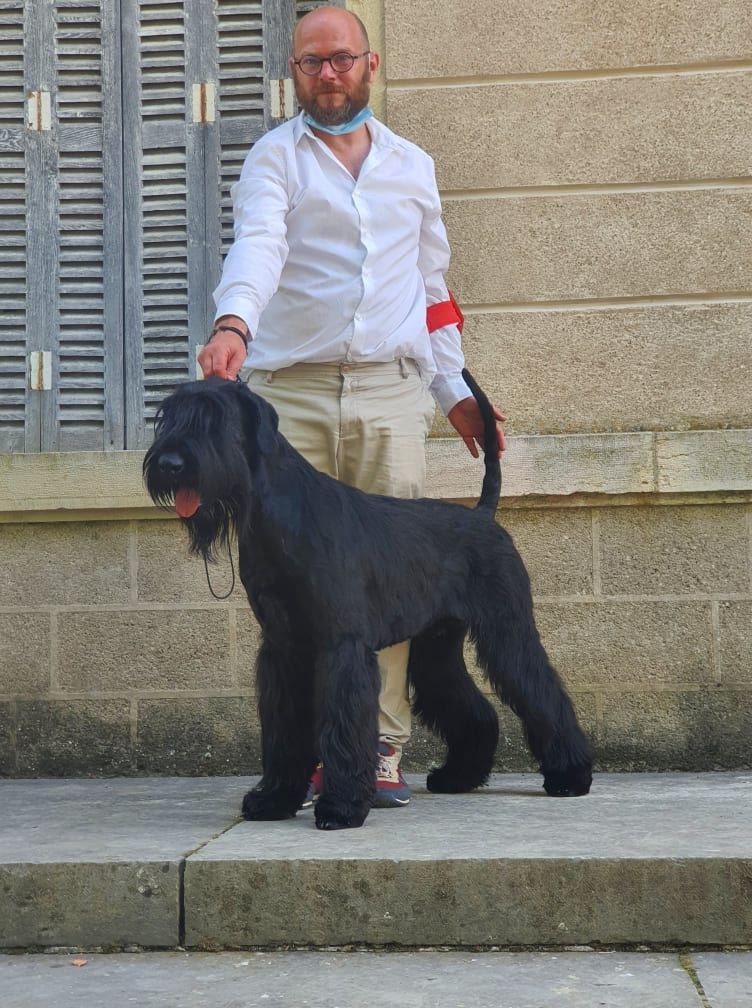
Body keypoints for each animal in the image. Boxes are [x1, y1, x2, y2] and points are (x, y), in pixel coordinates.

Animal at [145, 370, 592, 826]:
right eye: (168, 416)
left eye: (215, 419)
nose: (169, 464)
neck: (281, 518)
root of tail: (482, 515)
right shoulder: (283, 648)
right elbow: (285, 729)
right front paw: (274, 798)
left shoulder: (341, 646)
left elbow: (343, 727)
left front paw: (341, 806)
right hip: (436, 646)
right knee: (473, 707)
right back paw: (458, 776)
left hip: (507, 632)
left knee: (541, 690)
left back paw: (570, 776)